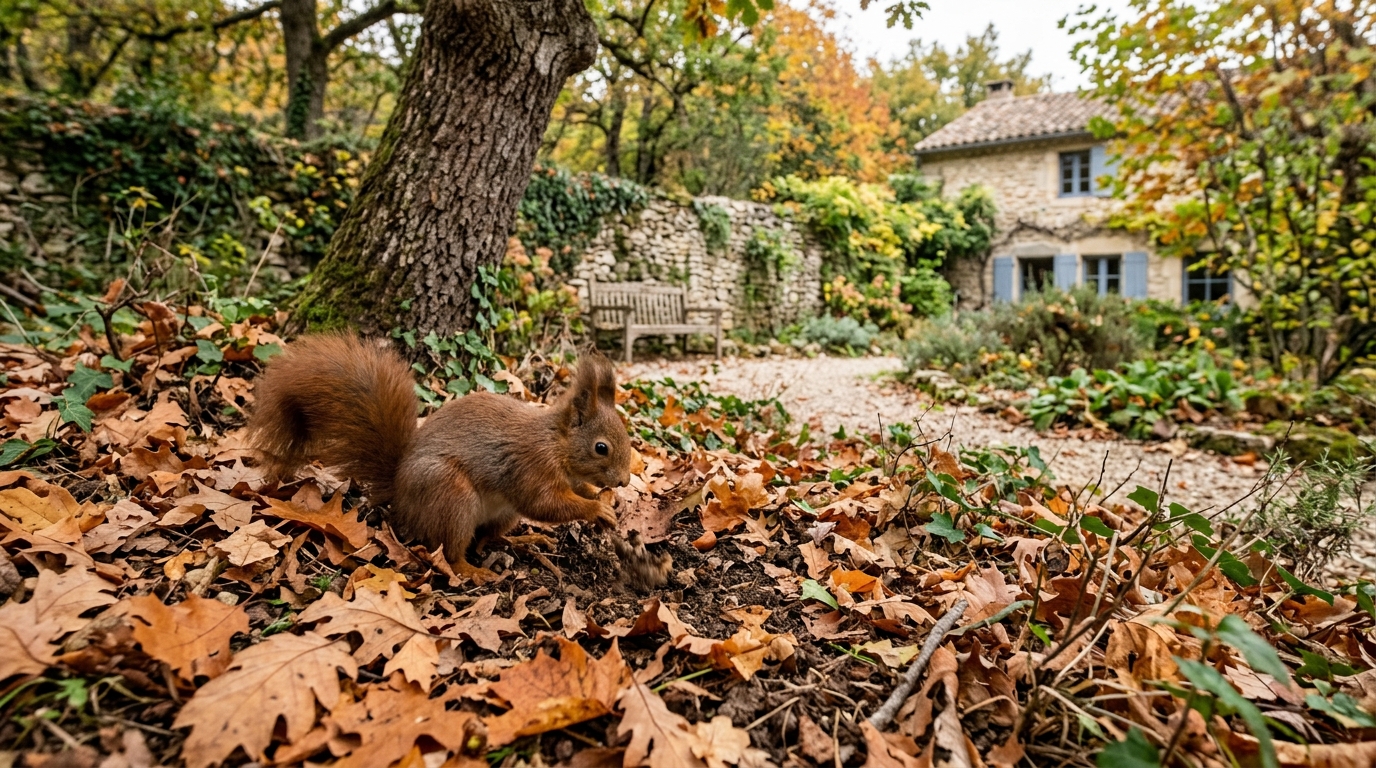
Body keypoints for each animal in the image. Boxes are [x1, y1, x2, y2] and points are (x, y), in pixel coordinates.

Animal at [245, 333, 633, 583]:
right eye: (601, 447)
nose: (625, 481)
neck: (556, 444)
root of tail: (400, 496)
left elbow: (573, 493)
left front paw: (607, 504)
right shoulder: (531, 467)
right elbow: (545, 504)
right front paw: (596, 509)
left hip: (501, 513)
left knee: (488, 538)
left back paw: (523, 541)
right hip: (451, 497)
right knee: (451, 551)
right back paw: (474, 571)